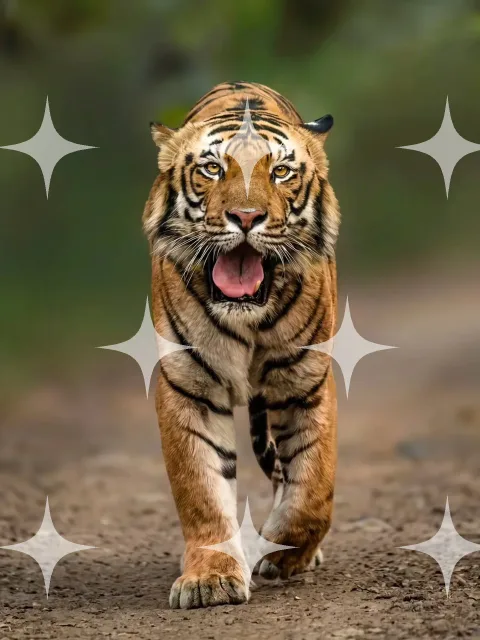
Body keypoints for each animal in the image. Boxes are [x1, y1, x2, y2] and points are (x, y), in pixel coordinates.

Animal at [143, 81, 339, 609]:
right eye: (212, 169)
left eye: (280, 172)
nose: (246, 217)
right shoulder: (189, 387)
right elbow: (202, 492)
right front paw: (209, 579)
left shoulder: (305, 381)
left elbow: (314, 485)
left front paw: (284, 551)